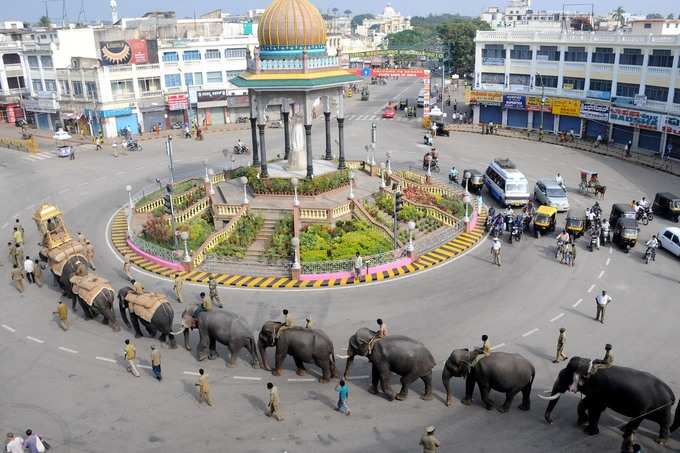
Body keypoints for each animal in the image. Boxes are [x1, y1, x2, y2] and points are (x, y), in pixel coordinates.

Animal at [540, 356, 676, 448]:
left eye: (564, 377)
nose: (551, 421)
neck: (588, 368)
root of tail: (671, 393)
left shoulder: (599, 390)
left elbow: (595, 408)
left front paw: (588, 432)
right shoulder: (595, 393)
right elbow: (585, 403)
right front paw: (581, 422)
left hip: (658, 407)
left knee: (662, 420)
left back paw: (660, 441)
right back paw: (624, 430)